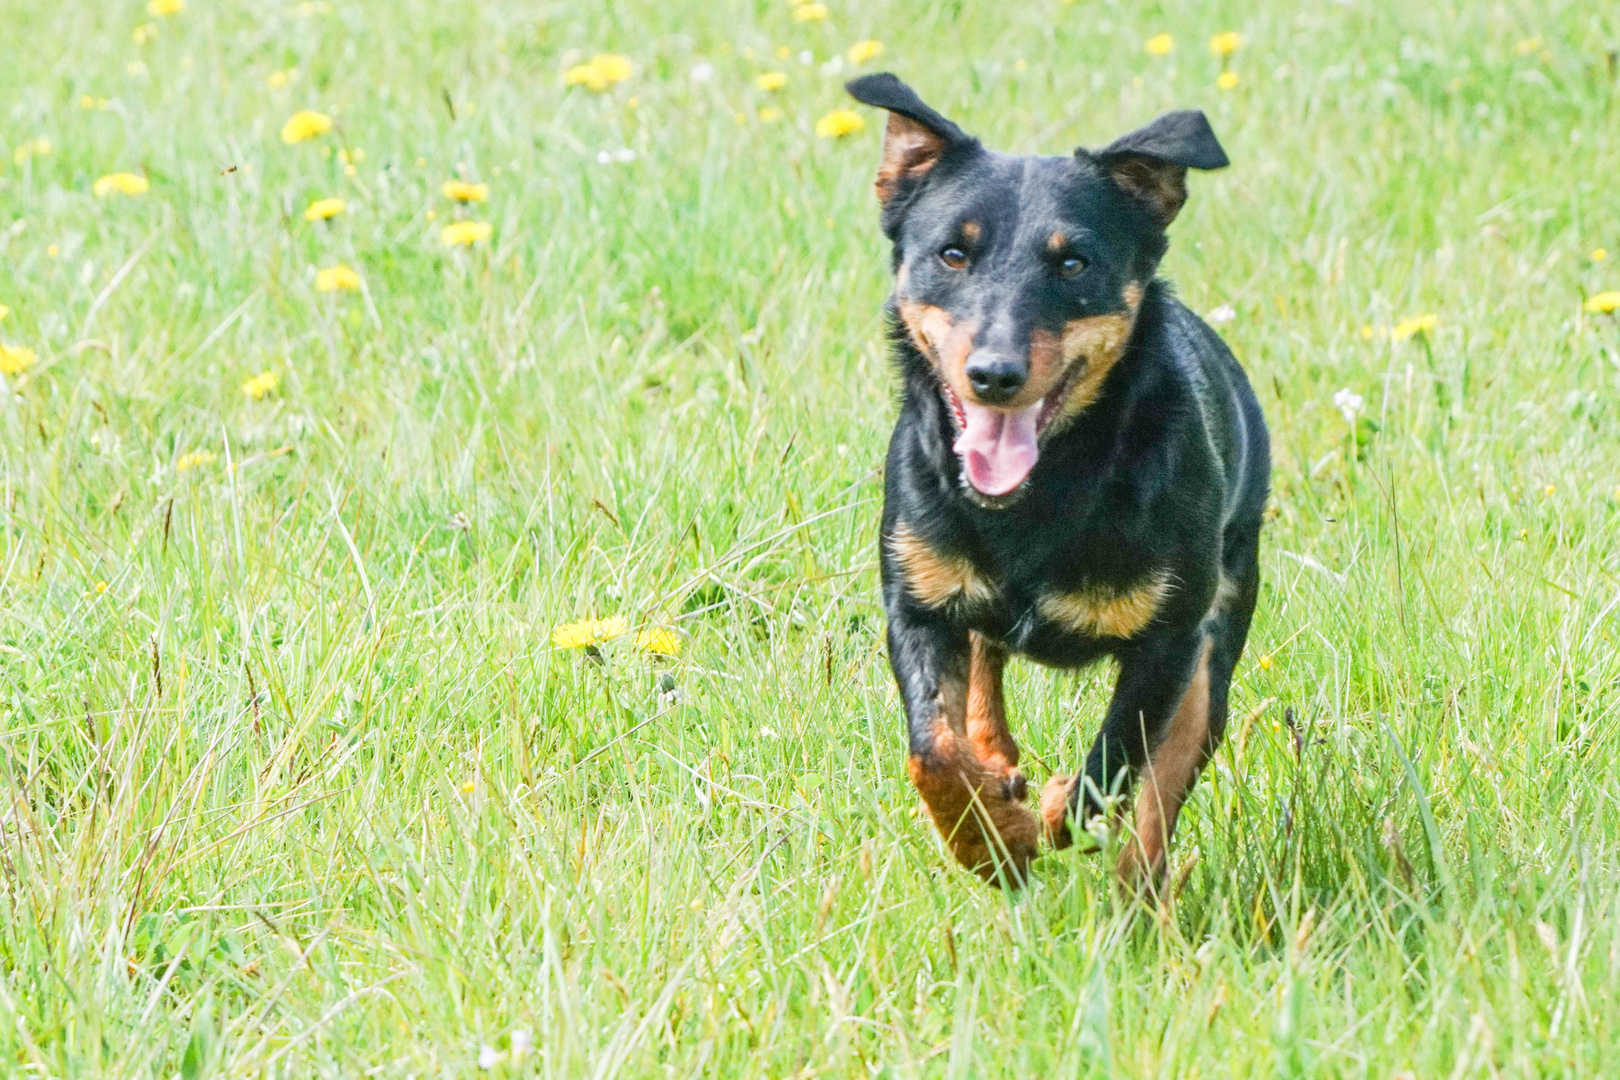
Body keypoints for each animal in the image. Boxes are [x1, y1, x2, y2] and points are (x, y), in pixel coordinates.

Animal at [842, 71, 1270, 893]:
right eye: (952, 255)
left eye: (1074, 265)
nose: (994, 374)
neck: (1040, 493)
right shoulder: (917, 605)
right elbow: (932, 750)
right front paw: (989, 839)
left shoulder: (1169, 645)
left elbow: (1108, 774)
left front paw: (1037, 821)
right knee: (982, 677)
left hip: (1214, 650)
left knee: (1158, 800)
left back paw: (1139, 894)